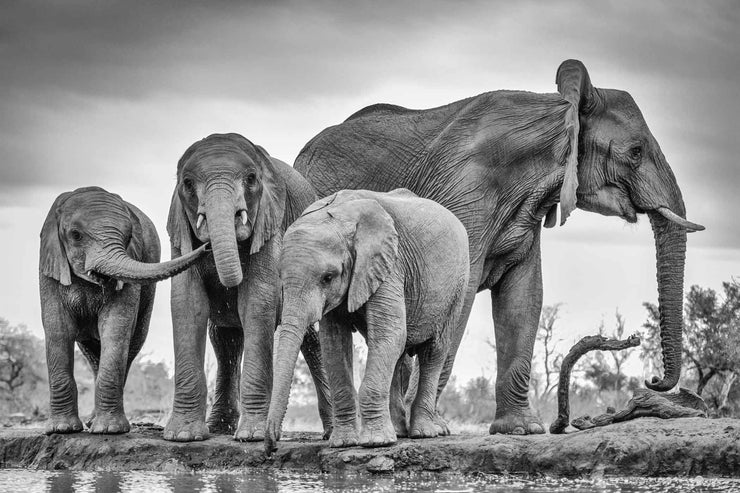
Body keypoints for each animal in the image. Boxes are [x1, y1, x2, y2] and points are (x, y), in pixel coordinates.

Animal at [39, 185, 208, 434]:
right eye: (75, 235)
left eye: (128, 237)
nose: (207, 246)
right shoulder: (49, 266)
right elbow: (58, 329)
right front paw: (61, 429)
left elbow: (116, 326)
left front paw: (109, 430)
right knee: (91, 351)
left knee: (131, 342)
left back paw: (96, 423)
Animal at [165, 132, 332, 442]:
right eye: (188, 184)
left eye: (252, 179)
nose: (207, 247)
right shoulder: (180, 235)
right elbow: (187, 302)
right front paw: (182, 436)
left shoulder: (270, 223)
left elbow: (257, 299)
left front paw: (251, 437)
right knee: (225, 340)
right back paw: (219, 428)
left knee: (312, 341)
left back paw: (332, 432)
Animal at [266, 189, 468, 454]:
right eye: (280, 276)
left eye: (328, 277)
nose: (271, 447)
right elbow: (334, 343)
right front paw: (343, 443)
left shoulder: (389, 264)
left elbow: (390, 332)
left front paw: (375, 443)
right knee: (398, 353)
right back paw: (399, 432)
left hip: (458, 286)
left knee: (434, 351)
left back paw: (422, 433)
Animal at [294, 58, 704, 434]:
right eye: (635, 152)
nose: (653, 380)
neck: (557, 111)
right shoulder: (465, 193)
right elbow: (462, 295)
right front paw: (432, 429)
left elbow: (525, 296)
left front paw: (521, 429)